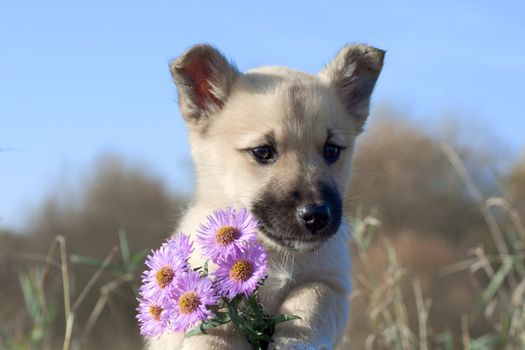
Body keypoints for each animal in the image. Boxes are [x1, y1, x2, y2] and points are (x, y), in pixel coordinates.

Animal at [145, 42, 382, 348]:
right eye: (262, 152)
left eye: (332, 150)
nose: (316, 216)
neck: (275, 254)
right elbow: (213, 323)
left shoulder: (334, 285)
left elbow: (312, 297)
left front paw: (294, 341)